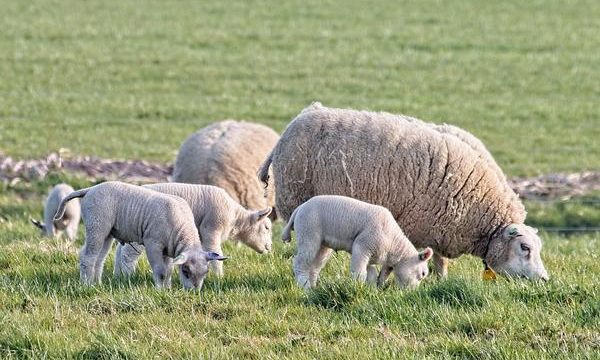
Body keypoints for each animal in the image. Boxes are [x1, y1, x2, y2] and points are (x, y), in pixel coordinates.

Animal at [52, 181, 227, 288]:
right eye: (186, 271)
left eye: (206, 273)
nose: (193, 292)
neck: (182, 229)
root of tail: (90, 189)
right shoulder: (153, 243)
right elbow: (160, 271)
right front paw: (160, 290)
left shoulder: (168, 249)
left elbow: (168, 271)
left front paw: (167, 288)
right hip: (97, 225)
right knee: (88, 256)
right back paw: (87, 284)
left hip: (107, 232)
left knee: (98, 258)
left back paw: (97, 284)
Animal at [113, 184, 272, 278]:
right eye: (266, 228)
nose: (269, 248)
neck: (235, 218)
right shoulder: (211, 229)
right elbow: (216, 253)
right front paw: (219, 278)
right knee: (128, 254)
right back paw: (128, 276)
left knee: (119, 251)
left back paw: (118, 276)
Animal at [258, 102, 548, 280]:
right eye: (524, 247)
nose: (544, 279)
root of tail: (296, 121)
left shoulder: (442, 226)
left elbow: (440, 259)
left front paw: (441, 279)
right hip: (300, 199)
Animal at [282, 194, 432, 290]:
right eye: (423, 274)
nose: (411, 293)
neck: (393, 243)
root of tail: (300, 208)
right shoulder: (362, 246)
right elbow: (360, 273)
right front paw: (357, 288)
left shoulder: (371, 255)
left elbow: (371, 275)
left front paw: (371, 291)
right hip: (308, 233)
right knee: (300, 262)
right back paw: (305, 287)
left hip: (322, 245)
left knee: (314, 266)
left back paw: (313, 288)